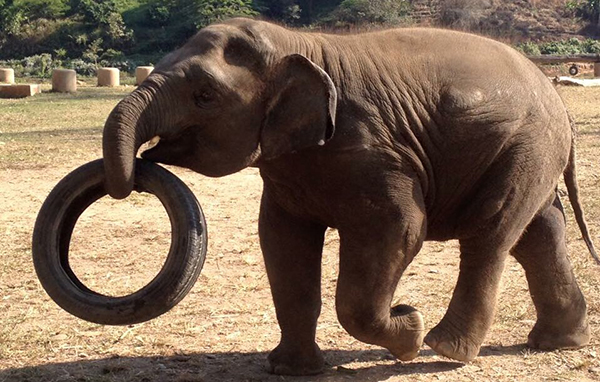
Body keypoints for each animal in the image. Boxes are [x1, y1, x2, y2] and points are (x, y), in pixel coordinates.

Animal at [96, 18, 596, 376]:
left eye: (204, 95)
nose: (133, 173)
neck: (301, 44)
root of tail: (553, 92)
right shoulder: (288, 170)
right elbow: (282, 242)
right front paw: (289, 370)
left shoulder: (372, 149)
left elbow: (400, 228)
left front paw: (409, 330)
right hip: (527, 152)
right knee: (539, 232)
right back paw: (555, 343)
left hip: (525, 144)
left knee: (491, 232)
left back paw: (445, 348)